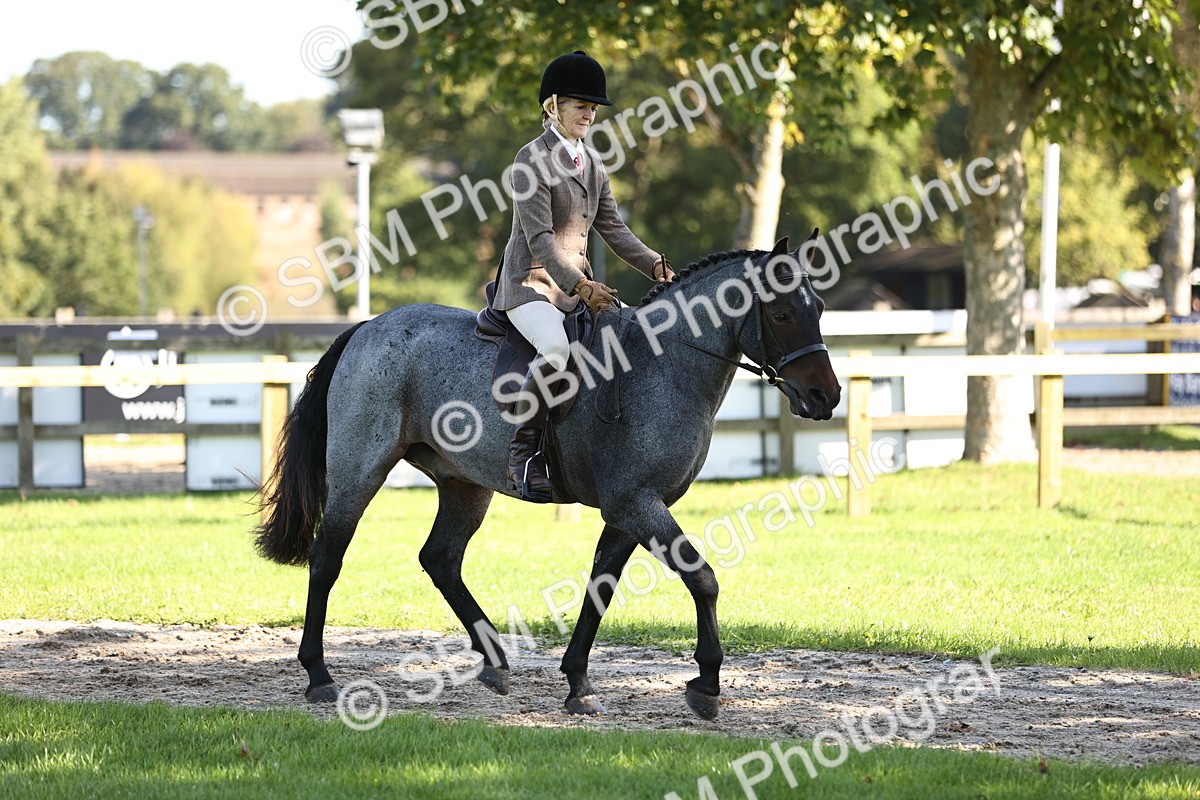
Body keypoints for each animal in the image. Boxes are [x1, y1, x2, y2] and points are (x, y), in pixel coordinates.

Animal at [254, 235, 841, 720]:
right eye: (782, 313)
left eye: (818, 308)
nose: (826, 396)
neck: (662, 365)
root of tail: (369, 327)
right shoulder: (636, 504)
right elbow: (703, 578)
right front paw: (707, 684)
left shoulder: (628, 513)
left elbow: (600, 586)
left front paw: (578, 683)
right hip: (359, 472)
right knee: (327, 558)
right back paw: (319, 676)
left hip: (465, 485)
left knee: (440, 559)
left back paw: (493, 661)